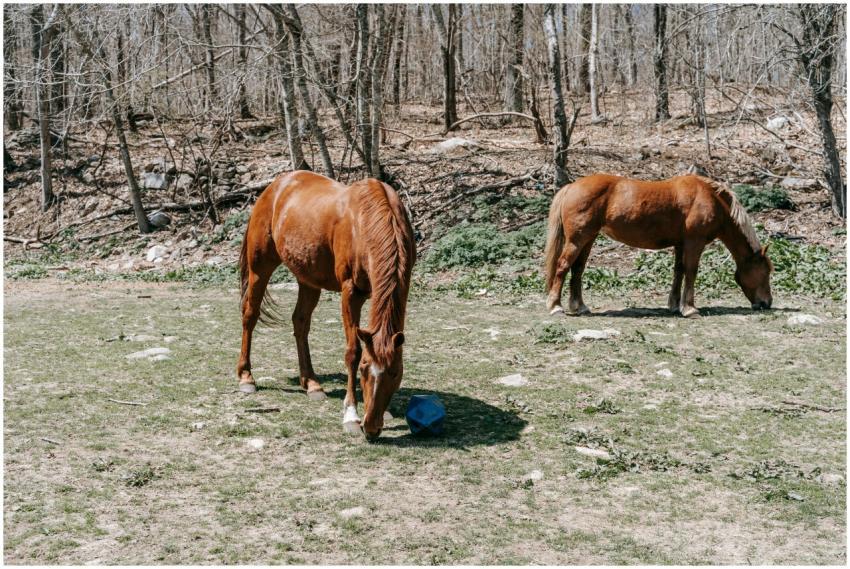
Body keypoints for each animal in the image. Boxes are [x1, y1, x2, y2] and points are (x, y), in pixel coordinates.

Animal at [237, 170, 416, 440]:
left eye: (395, 373)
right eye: (364, 370)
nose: (371, 428)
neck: (365, 223)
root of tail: (274, 187)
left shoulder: (401, 288)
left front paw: (385, 412)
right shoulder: (351, 292)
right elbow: (353, 351)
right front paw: (351, 415)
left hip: (307, 279)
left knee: (300, 323)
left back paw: (311, 383)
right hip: (260, 268)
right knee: (250, 315)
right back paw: (247, 377)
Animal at [544, 174, 773, 318]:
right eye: (765, 272)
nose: (767, 303)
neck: (709, 198)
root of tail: (571, 187)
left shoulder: (681, 244)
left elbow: (679, 271)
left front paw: (674, 305)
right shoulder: (694, 242)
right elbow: (691, 271)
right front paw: (689, 308)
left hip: (588, 239)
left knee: (577, 269)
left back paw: (580, 306)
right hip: (577, 240)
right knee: (563, 266)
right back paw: (555, 306)